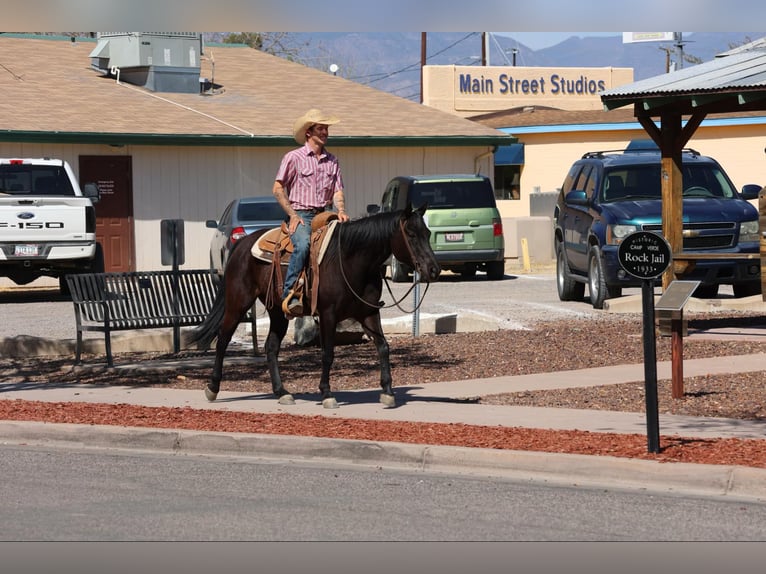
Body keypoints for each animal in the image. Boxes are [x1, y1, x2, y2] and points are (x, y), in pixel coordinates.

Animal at [188, 203, 440, 409]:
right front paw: (327, 393)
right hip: (238, 302)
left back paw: (282, 392)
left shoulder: (368, 312)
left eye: (428, 233)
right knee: (223, 339)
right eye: (411, 234)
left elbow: (383, 346)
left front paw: (387, 392)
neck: (351, 260)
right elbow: (328, 353)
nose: (433, 269)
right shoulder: (328, 314)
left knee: (271, 347)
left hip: (277, 311)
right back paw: (212, 388)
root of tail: (242, 244)